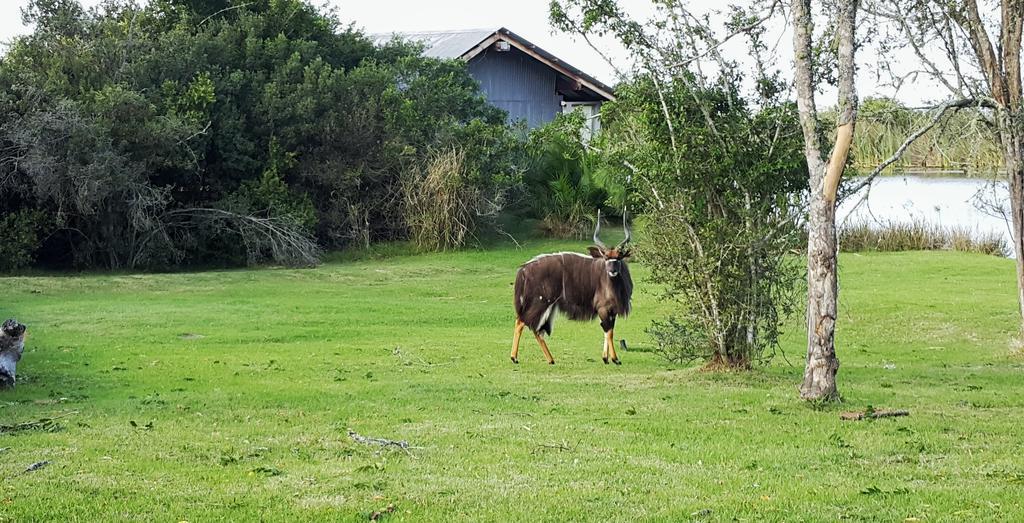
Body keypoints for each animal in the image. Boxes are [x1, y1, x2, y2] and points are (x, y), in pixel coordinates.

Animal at [512, 210, 630, 366]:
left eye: (619, 257)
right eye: (605, 257)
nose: (612, 271)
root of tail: (524, 269)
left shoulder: (612, 311)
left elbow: (608, 330)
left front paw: (605, 358)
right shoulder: (603, 308)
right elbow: (609, 331)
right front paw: (615, 359)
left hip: (547, 306)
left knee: (536, 329)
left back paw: (550, 359)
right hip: (540, 302)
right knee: (522, 322)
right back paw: (514, 358)